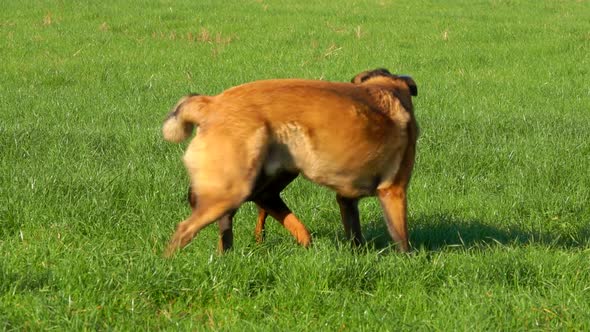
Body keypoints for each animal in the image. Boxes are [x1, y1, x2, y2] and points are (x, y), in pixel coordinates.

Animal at [164, 68, 418, 256]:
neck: (388, 89)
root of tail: (210, 103)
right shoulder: (394, 192)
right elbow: (401, 238)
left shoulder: (346, 198)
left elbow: (354, 233)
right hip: (230, 190)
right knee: (184, 230)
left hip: (257, 181)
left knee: (236, 218)